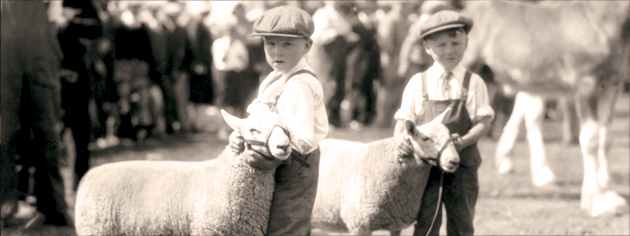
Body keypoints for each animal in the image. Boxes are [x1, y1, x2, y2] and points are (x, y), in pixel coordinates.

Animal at [76, 108, 292, 235]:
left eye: (285, 126)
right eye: (253, 130)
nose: (284, 145)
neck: (222, 178)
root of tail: (89, 175)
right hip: (96, 229)